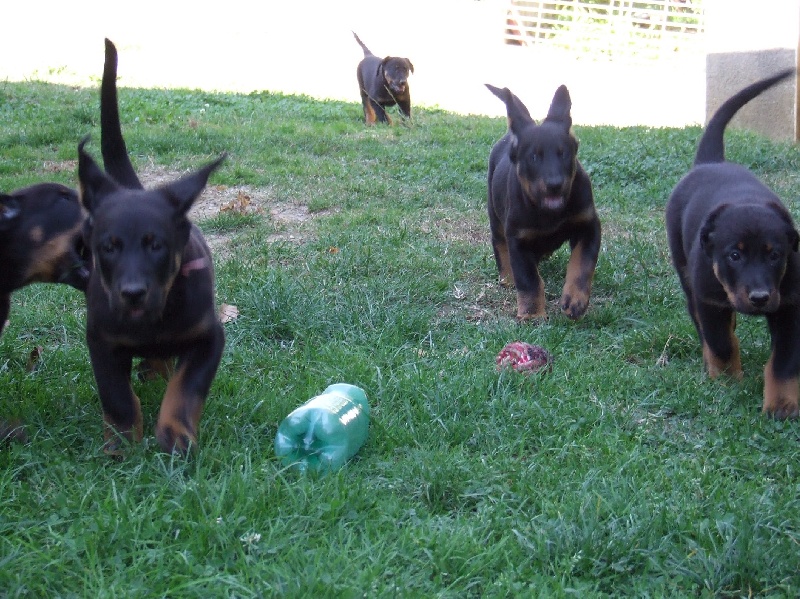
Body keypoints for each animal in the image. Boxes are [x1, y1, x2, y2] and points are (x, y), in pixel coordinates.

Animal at [78, 39, 227, 454]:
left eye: (156, 245)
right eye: (108, 247)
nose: (132, 294)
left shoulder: (210, 337)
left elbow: (187, 389)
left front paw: (175, 435)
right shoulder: (101, 339)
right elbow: (115, 396)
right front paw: (121, 443)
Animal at [488, 83, 600, 324]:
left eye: (563, 154)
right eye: (533, 157)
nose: (554, 185)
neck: (549, 213)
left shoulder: (589, 225)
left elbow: (582, 264)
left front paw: (575, 301)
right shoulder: (518, 239)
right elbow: (528, 279)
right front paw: (532, 314)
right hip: (495, 215)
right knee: (499, 244)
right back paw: (507, 277)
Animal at [664, 68, 800, 420]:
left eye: (775, 255)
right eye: (734, 255)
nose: (759, 297)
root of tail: (710, 162)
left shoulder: (790, 304)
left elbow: (784, 362)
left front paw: (782, 405)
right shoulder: (709, 299)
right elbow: (720, 343)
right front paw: (727, 383)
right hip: (687, 276)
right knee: (703, 325)